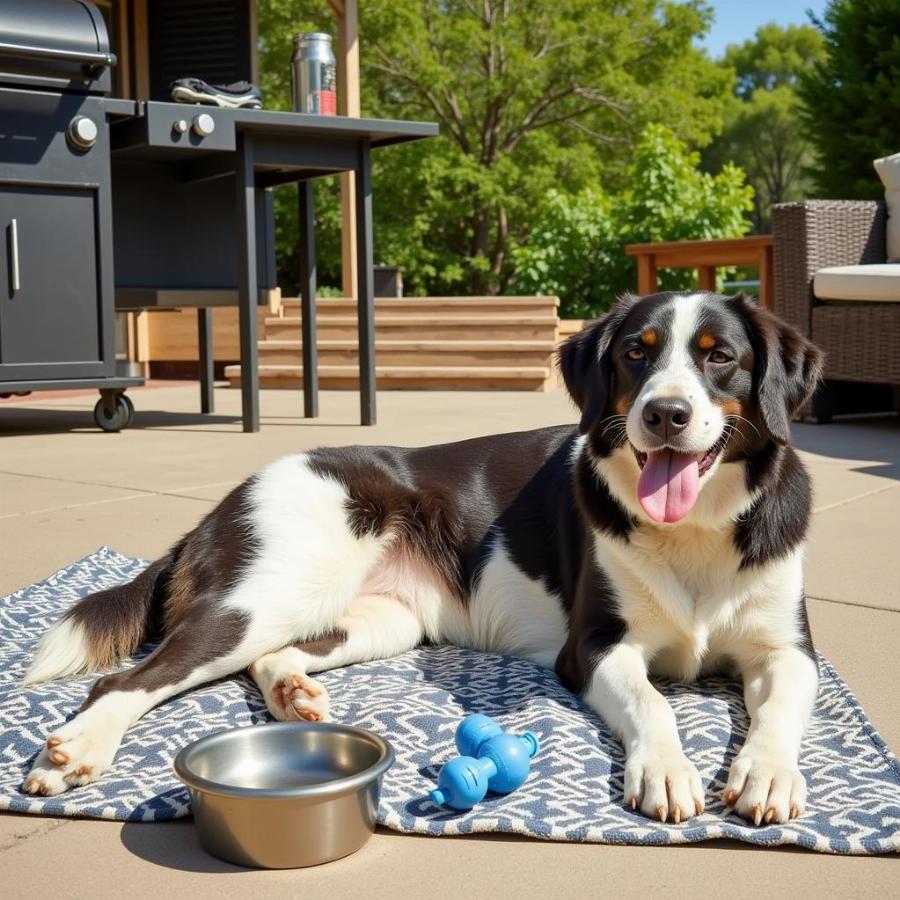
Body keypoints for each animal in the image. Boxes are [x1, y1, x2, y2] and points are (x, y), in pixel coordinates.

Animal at [21, 292, 824, 828]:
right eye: (636, 353)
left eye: (720, 357)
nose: (664, 414)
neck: (697, 529)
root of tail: (223, 503)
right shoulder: (596, 646)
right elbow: (654, 702)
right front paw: (665, 769)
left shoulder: (789, 649)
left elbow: (785, 701)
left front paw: (768, 774)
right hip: (264, 595)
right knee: (131, 679)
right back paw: (75, 750)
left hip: (383, 622)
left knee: (272, 656)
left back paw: (294, 695)